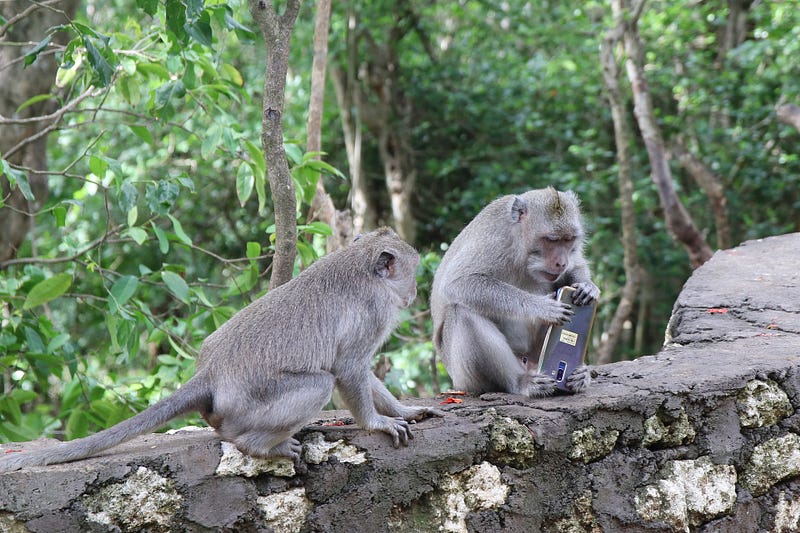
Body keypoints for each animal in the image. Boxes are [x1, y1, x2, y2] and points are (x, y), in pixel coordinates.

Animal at [0, 227, 440, 472]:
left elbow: (356, 370)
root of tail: (209, 374)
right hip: (250, 405)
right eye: (414, 273)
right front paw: (377, 423)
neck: (362, 265)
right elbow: (348, 369)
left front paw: (404, 410)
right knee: (319, 383)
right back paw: (260, 446)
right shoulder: (373, 313)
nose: (417, 291)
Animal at [432, 189, 600, 396]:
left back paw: (581, 374)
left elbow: (575, 265)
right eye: (551, 240)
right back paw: (520, 381)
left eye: (568, 240)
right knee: (462, 312)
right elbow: (458, 282)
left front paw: (587, 287)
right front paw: (542, 307)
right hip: (466, 378)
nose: (561, 262)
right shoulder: (494, 242)